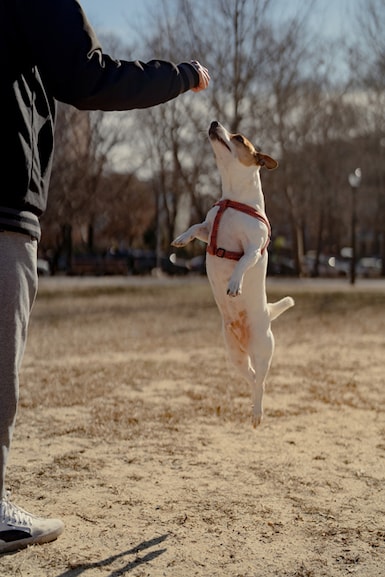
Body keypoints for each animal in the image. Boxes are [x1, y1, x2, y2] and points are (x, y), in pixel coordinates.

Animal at [171, 120, 294, 428]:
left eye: (239, 138)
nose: (214, 122)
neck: (233, 198)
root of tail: (268, 314)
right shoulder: (208, 228)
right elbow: (196, 226)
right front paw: (181, 238)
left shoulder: (252, 248)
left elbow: (242, 262)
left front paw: (235, 283)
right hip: (234, 355)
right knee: (250, 377)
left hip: (263, 350)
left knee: (261, 381)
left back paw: (257, 412)